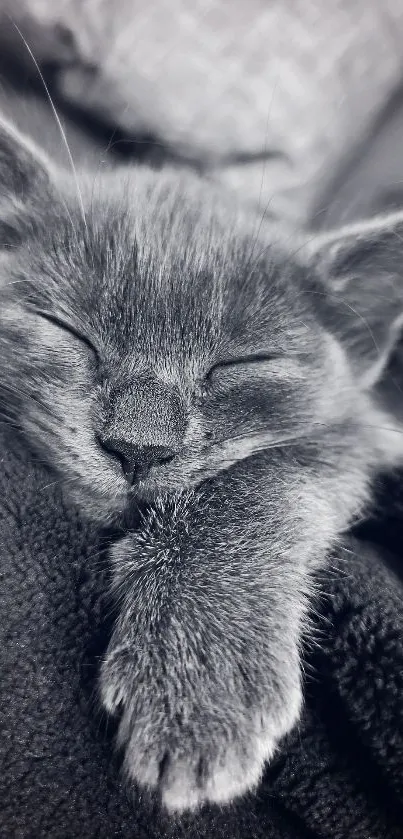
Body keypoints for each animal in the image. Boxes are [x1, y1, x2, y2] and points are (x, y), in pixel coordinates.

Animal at [0, 111, 403, 812]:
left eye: (241, 364)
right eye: (67, 330)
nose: (137, 444)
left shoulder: (360, 436)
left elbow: (261, 476)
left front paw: (199, 675)